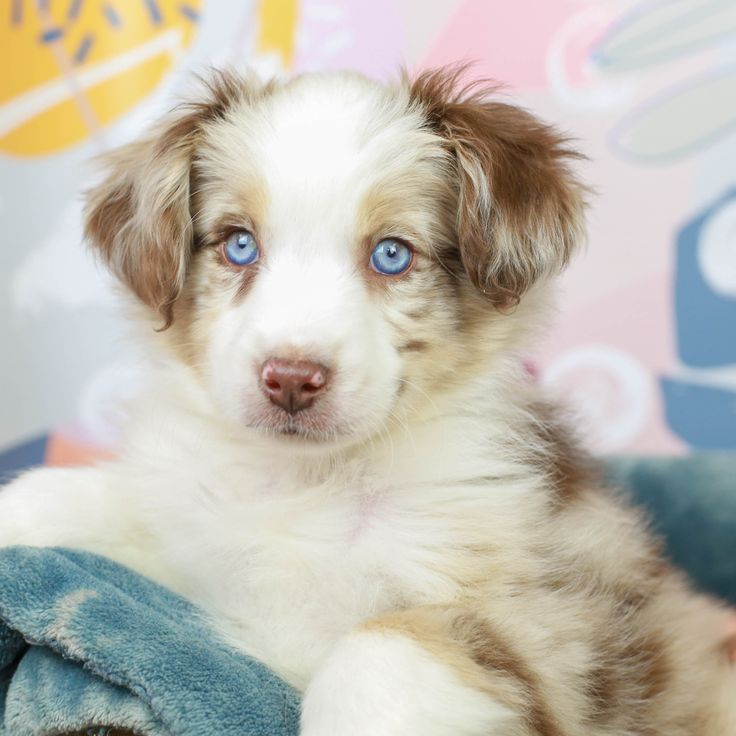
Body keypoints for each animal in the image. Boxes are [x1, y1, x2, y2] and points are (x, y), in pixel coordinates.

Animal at [1, 66, 736, 732]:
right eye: (239, 244)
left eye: (391, 255)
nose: (291, 378)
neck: (310, 481)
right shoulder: (193, 540)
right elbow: (95, 501)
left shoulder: (573, 620)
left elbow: (377, 648)